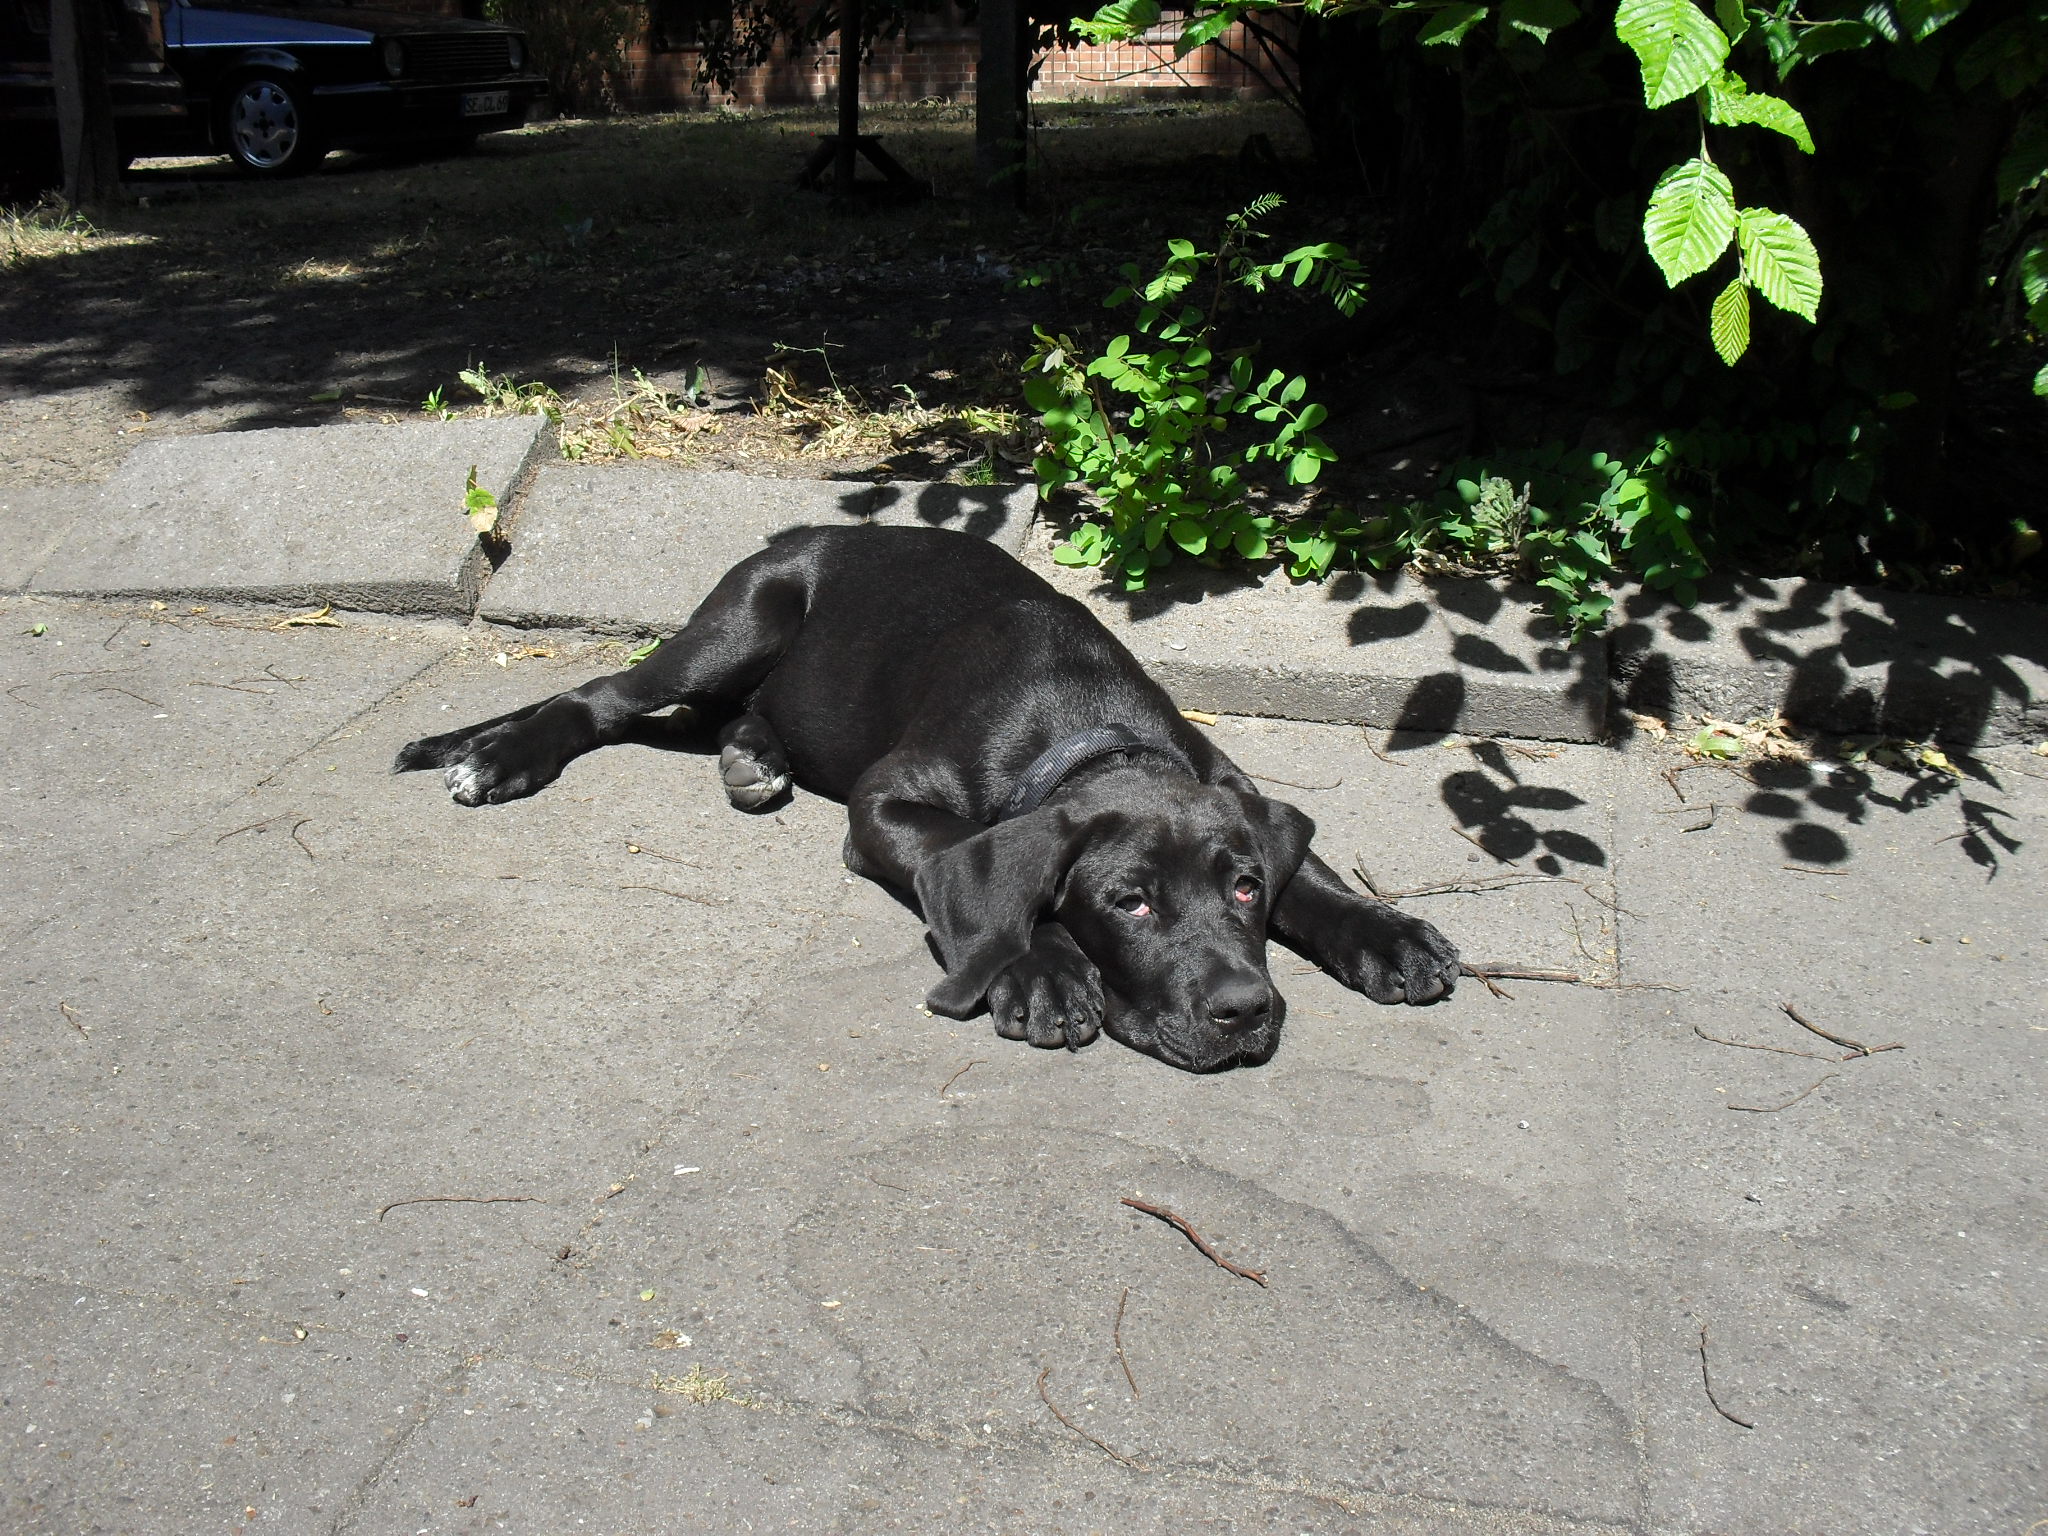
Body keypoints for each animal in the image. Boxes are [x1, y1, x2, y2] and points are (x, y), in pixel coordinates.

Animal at [395, 528, 1458, 1073]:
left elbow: (1310, 875)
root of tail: (803, 529)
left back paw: (752, 757)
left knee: (718, 715)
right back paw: (502, 755)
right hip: (740, 621)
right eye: (1129, 904)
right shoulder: (888, 806)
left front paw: (1386, 933)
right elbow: (988, 881)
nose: (1244, 1012)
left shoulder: (1228, 784)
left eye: (1243, 888)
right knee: (604, 697)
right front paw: (1042, 969)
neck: (1092, 728)